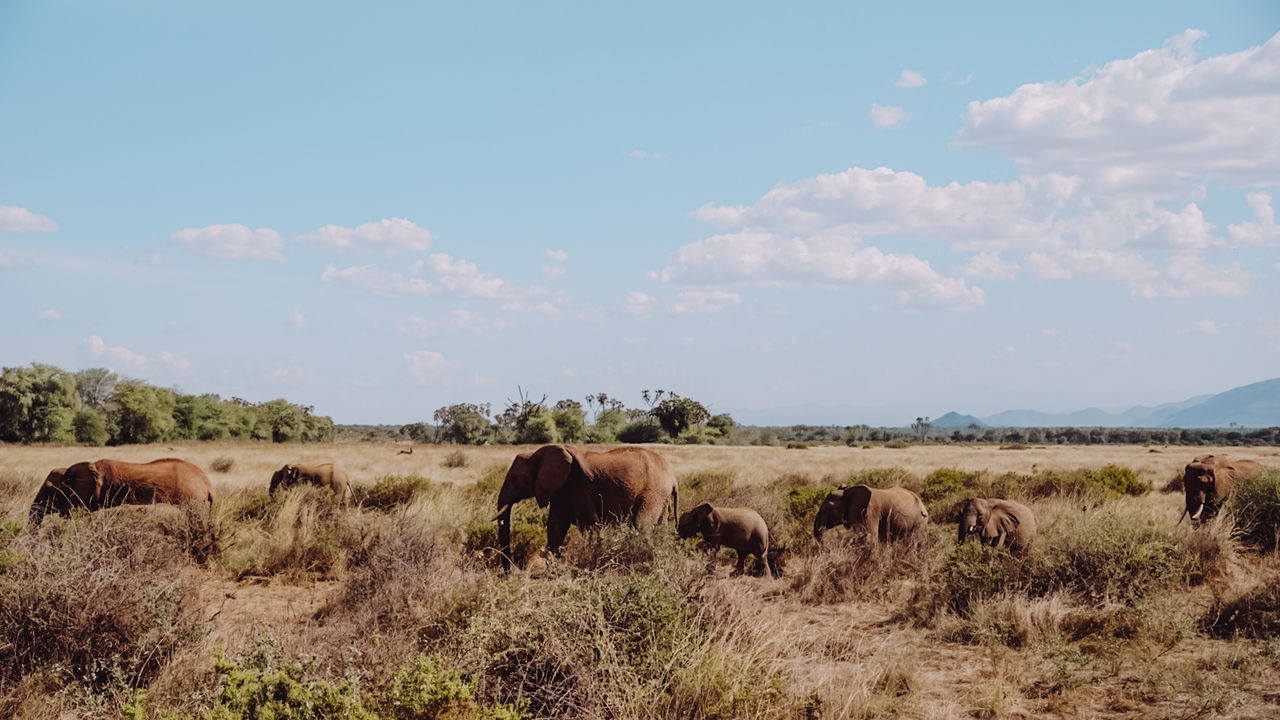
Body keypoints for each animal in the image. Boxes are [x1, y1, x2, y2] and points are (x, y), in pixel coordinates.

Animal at [488, 440, 680, 568]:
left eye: (514, 478)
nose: (508, 573)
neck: (536, 454)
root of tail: (673, 477)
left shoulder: (578, 486)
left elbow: (589, 526)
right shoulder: (561, 490)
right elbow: (555, 527)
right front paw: (552, 572)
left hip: (653, 493)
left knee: (642, 525)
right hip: (661, 497)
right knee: (660, 528)